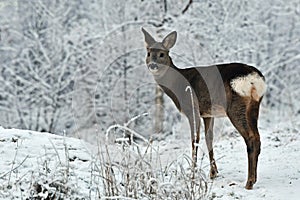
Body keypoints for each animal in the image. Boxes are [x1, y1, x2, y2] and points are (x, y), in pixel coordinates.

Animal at [142, 28, 266, 189]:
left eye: (162, 54)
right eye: (148, 53)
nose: (153, 65)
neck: (177, 84)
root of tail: (255, 79)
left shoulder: (192, 108)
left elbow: (195, 139)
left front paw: (193, 174)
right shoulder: (208, 113)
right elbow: (209, 138)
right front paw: (213, 173)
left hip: (235, 106)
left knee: (250, 138)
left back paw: (249, 182)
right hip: (254, 105)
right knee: (257, 137)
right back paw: (253, 179)